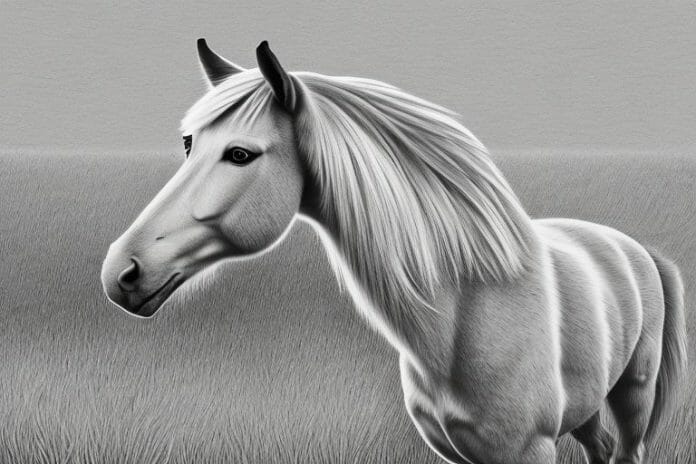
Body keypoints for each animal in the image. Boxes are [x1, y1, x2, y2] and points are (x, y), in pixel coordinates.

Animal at [101, 39, 687, 464]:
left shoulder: (529, 453)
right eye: (188, 144)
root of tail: (634, 248)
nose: (121, 272)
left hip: (633, 394)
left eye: (240, 154)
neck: (468, 313)